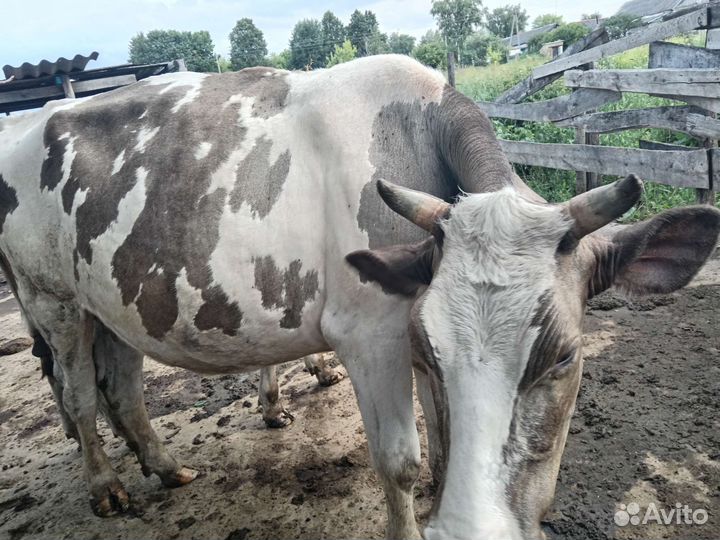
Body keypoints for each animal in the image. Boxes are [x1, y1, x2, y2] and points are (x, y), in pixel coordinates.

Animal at [0, 55, 718, 539]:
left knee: (122, 388)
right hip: (50, 300)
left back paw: (164, 465)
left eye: (565, 358)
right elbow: (401, 462)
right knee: (79, 397)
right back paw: (106, 486)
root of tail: (33, 120)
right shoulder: (372, 333)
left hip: (112, 306)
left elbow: (443, 447)